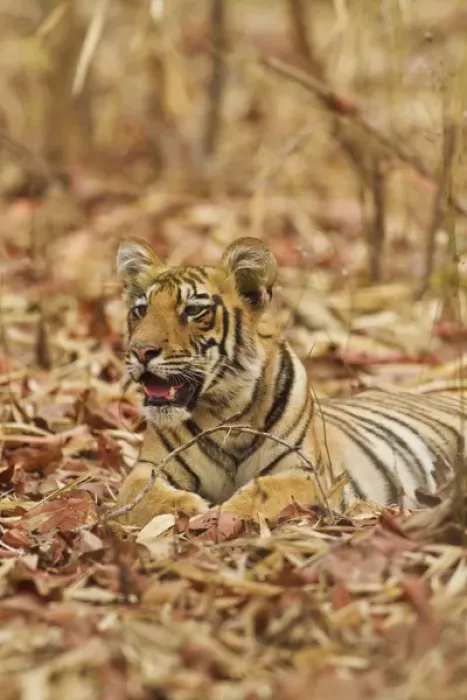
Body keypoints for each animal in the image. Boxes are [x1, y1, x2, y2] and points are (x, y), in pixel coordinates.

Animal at [116, 235, 466, 527]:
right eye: (141, 309)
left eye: (193, 310)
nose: (140, 351)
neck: (224, 410)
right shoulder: (147, 467)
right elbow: (143, 497)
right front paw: (188, 510)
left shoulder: (303, 471)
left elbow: (262, 493)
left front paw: (217, 515)